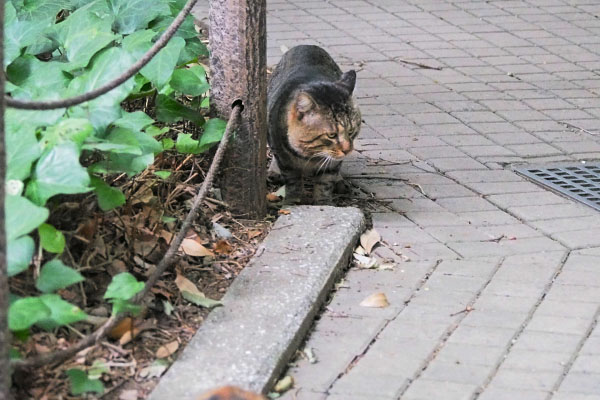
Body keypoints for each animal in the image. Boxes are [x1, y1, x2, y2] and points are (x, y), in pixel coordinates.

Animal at [268, 45, 360, 205]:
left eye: (351, 131)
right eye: (331, 135)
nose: (348, 150)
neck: (310, 155)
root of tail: (307, 45)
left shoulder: (330, 167)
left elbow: (325, 184)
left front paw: (324, 203)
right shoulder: (286, 163)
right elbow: (293, 183)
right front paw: (293, 201)